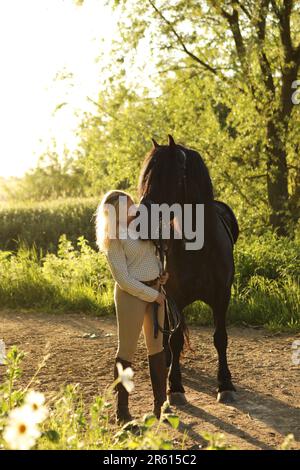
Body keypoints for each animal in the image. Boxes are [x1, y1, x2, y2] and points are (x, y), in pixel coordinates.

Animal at [138, 133, 239, 404]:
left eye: (168, 176)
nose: (140, 220)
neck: (200, 248)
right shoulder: (175, 296)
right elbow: (174, 340)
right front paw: (175, 388)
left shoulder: (222, 296)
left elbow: (220, 338)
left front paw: (225, 384)